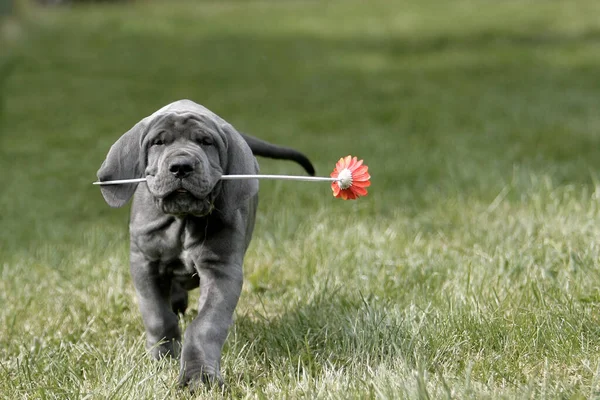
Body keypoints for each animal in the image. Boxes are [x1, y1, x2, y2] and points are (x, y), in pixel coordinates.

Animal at [97, 98, 314, 390]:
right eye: (158, 142)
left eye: (206, 142)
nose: (181, 166)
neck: (183, 220)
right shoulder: (144, 261)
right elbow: (158, 316)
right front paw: (162, 357)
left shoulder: (222, 270)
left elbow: (205, 325)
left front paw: (198, 377)